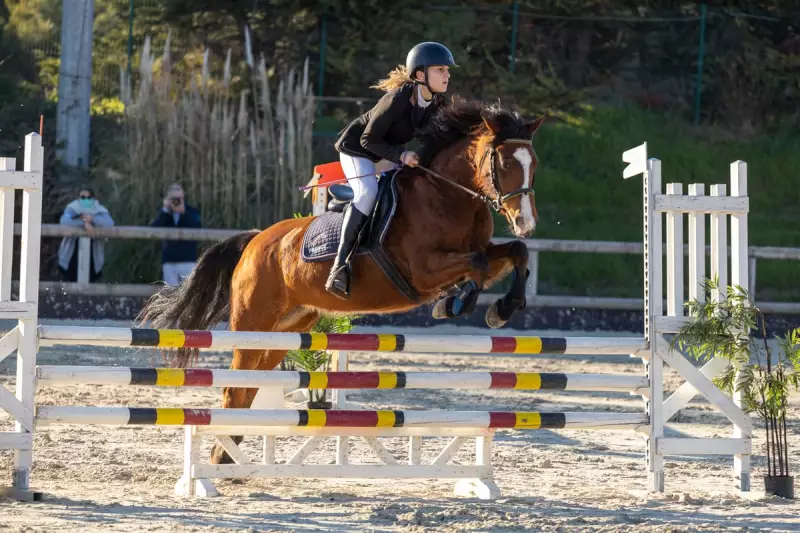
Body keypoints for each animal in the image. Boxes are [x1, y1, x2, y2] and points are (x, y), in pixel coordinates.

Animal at [139, 97, 544, 464]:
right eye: (504, 163)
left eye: (533, 164)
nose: (526, 223)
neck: (447, 196)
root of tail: (255, 240)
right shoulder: (422, 270)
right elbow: (476, 264)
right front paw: (456, 303)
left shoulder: (478, 253)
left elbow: (514, 253)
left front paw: (502, 309)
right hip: (253, 322)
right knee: (235, 387)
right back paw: (224, 450)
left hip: (287, 328)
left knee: (251, 384)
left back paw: (228, 451)